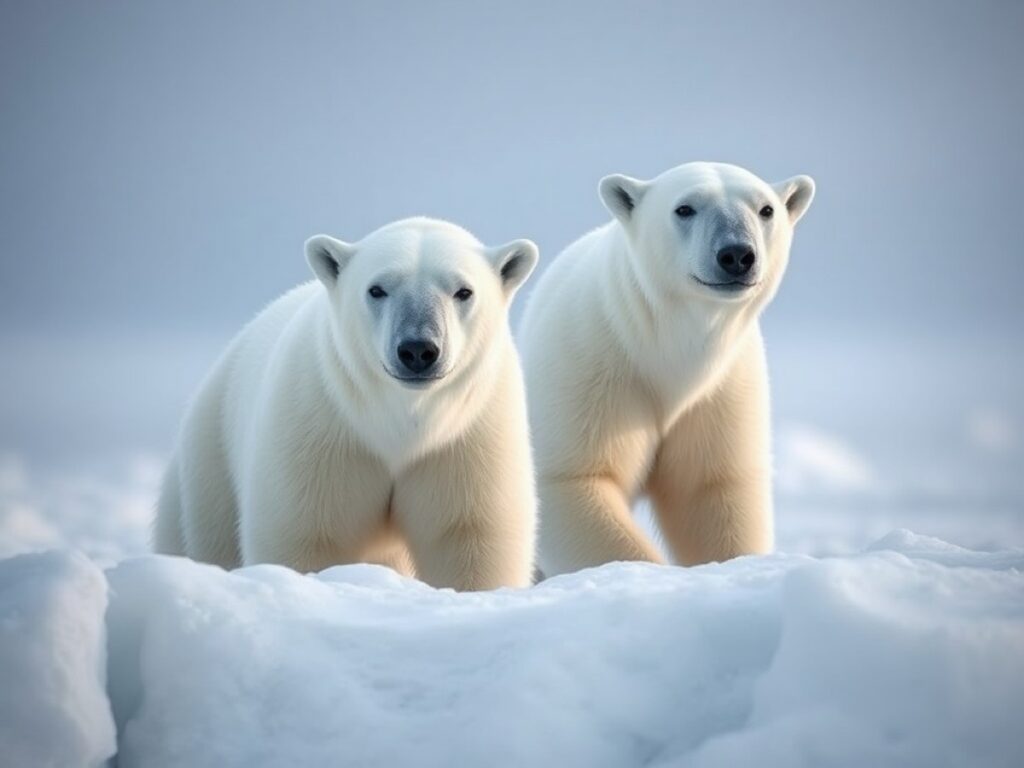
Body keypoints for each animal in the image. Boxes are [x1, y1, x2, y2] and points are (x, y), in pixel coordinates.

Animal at [154, 217, 539, 590]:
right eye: (377, 289)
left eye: (463, 291)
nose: (417, 349)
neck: (400, 422)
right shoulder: (324, 430)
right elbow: (306, 533)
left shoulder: (463, 440)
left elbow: (467, 536)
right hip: (211, 456)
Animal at [519, 162, 815, 577]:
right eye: (685, 208)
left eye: (766, 209)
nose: (737, 254)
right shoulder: (592, 367)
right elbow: (570, 477)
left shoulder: (719, 390)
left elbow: (710, 488)